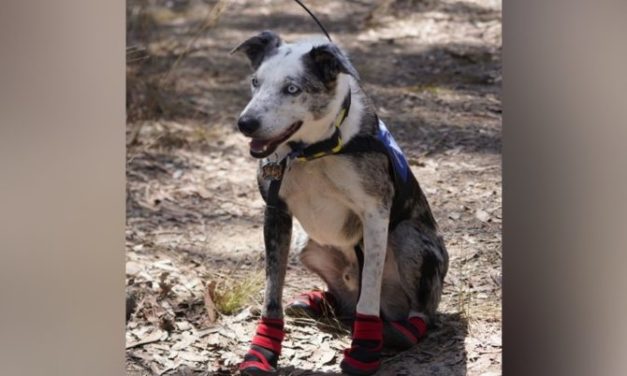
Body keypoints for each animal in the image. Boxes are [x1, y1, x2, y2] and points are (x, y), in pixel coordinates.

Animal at [233, 30, 448, 374]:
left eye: (292, 89)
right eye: (255, 81)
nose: (245, 123)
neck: (312, 151)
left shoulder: (375, 215)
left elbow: (369, 292)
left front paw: (364, 350)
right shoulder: (276, 212)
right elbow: (271, 292)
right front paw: (262, 350)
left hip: (408, 239)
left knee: (417, 310)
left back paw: (402, 330)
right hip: (304, 244)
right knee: (345, 299)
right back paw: (316, 302)